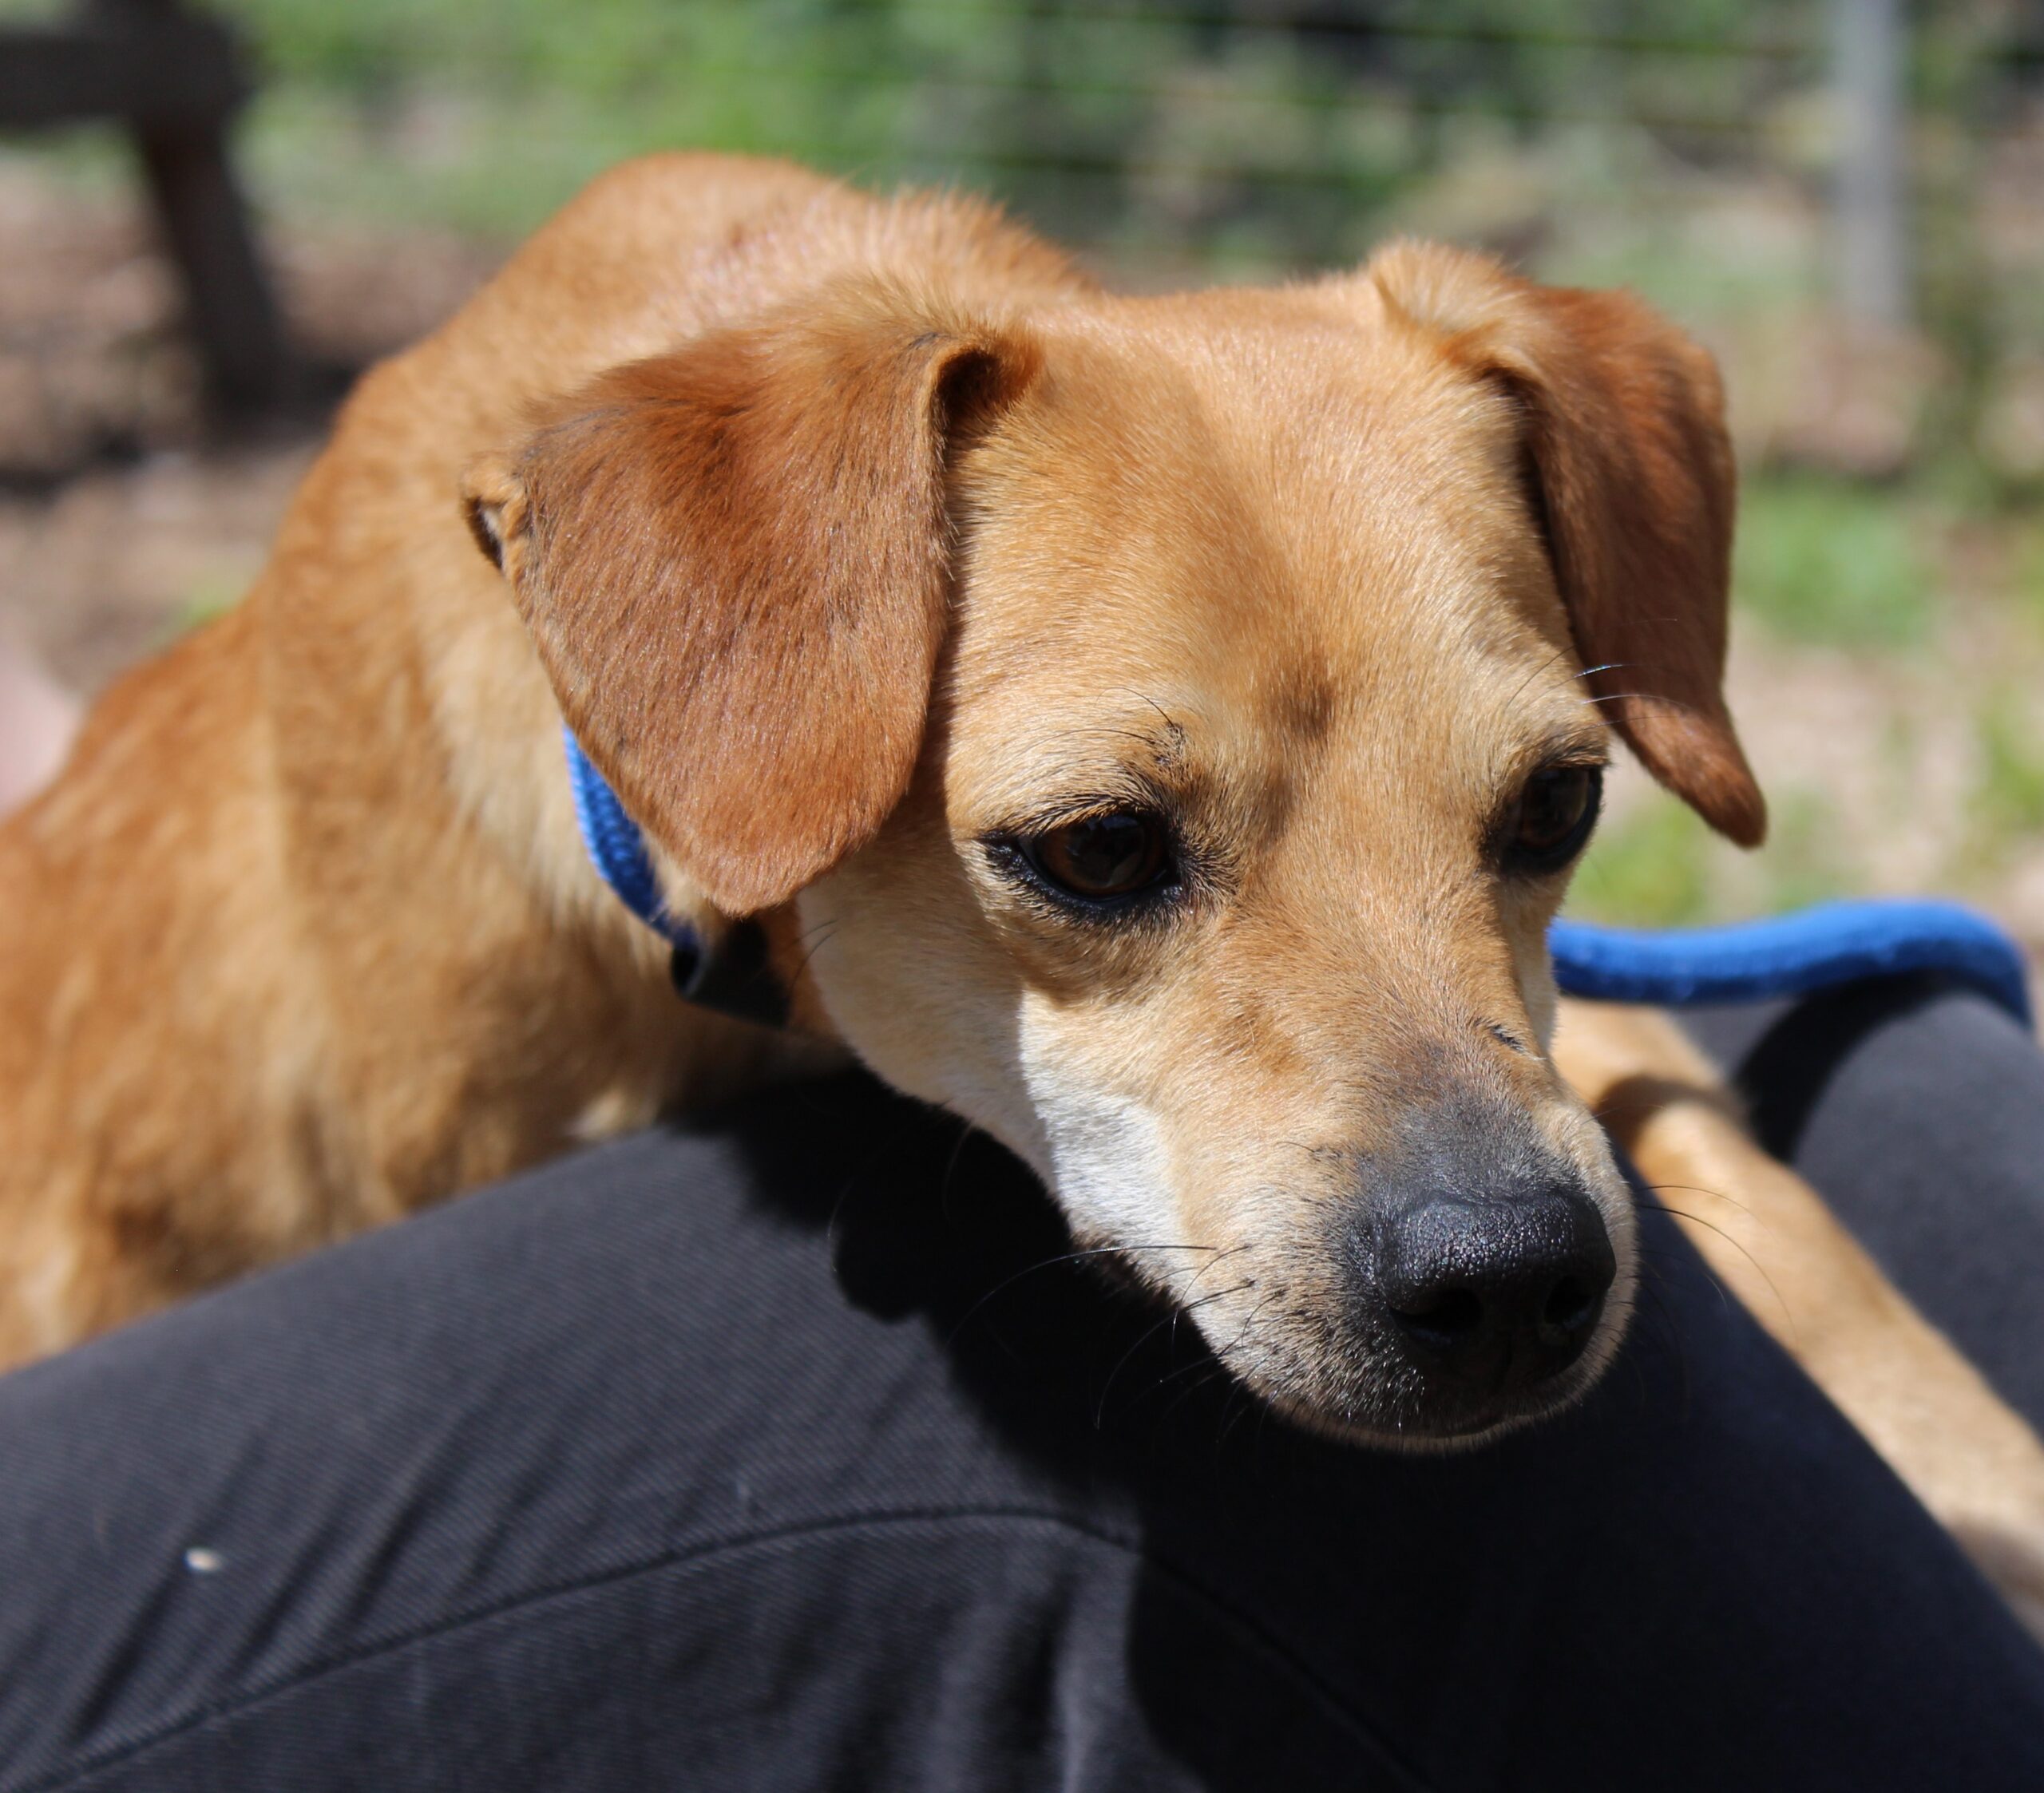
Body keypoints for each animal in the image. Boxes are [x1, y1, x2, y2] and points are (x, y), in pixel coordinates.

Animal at [5, 153, 2043, 1618]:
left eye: (1557, 800)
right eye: (1095, 850)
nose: (1513, 1278)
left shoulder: (1572, 1044)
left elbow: (1723, 1166)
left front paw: (1970, 1482)